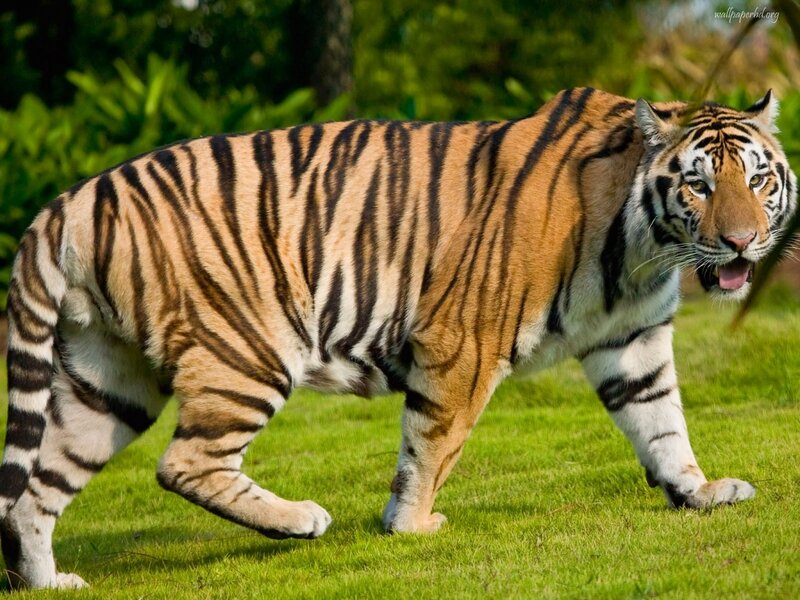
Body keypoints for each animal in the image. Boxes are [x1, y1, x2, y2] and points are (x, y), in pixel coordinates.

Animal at [0, 86, 796, 589]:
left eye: (759, 180)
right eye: (698, 185)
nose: (743, 243)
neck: (642, 250)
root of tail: (70, 200)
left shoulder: (633, 339)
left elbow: (662, 422)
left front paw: (698, 491)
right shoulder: (464, 340)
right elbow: (433, 444)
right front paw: (410, 527)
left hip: (107, 381)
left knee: (36, 490)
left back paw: (51, 581)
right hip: (249, 350)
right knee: (182, 463)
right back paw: (300, 520)